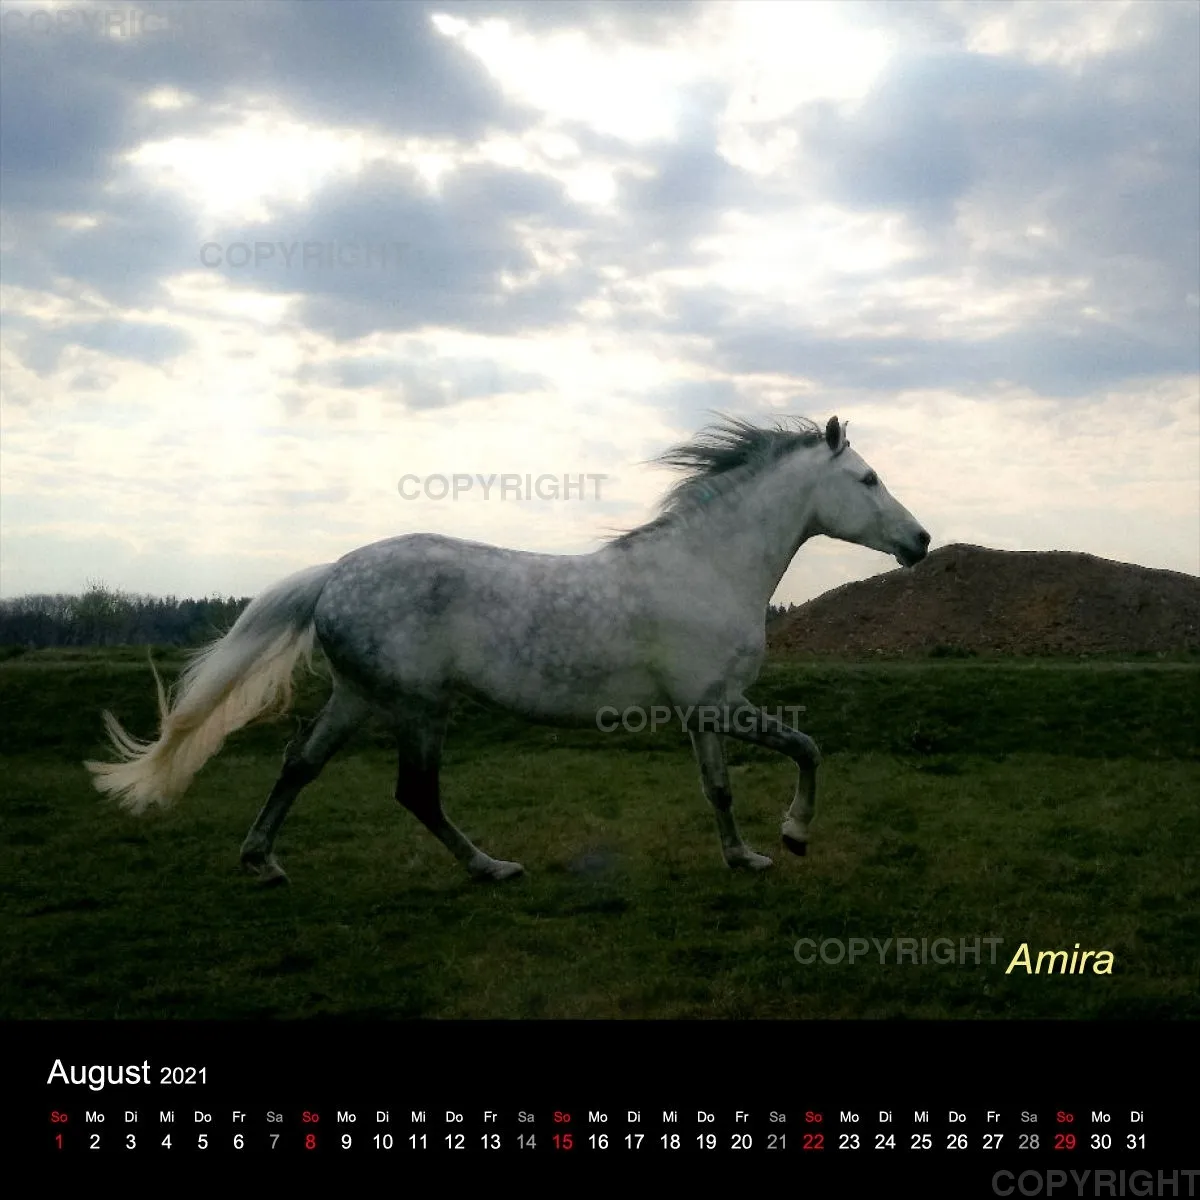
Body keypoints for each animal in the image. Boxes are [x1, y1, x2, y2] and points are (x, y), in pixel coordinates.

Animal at [86, 414, 929, 884]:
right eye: (868, 477)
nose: (920, 542)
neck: (706, 568)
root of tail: (335, 574)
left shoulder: (701, 712)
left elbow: (718, 789)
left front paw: (743, 858)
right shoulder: (720, 704)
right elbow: (808, 748)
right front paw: (792, 838)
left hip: (359, 698)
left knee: (300, 764)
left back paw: (262, 862)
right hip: (419, 706)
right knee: (416, 794)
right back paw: (491, 868)